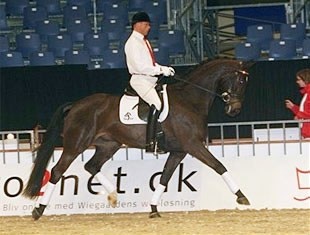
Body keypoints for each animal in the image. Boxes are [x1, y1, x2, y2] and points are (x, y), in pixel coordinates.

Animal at [23, 57, 252, 219]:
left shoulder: (179, 151)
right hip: (75, 145)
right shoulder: (193, 145)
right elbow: (219, 166)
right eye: (241, 80)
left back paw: (114, 195)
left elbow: (164, 178)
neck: (189, 100)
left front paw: (153, 209)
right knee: (57, 171)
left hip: (109, 145)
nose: (234, 111)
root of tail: (76, 105)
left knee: (91, 166)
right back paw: (38, 210)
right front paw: (242, 196)